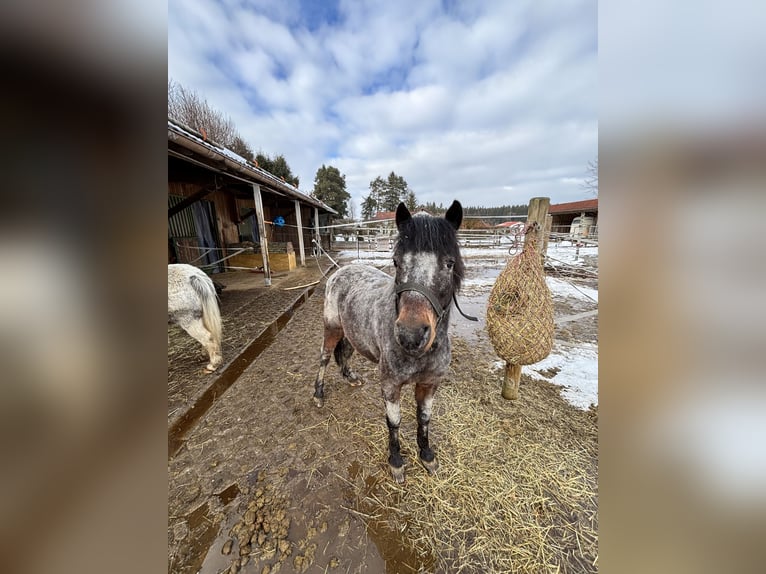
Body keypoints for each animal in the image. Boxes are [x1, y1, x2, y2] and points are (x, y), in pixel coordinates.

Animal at [313, 201, 465, 484]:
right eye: (396, 261)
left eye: (449, 263)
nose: (411, 335)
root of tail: (341, 271)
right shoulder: (391, 385)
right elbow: (394, 422)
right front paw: (396, 461)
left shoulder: (429, 384)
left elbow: (424, 418)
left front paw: (427, 455)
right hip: (332, 328)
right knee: (325, 357)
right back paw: (318, 394)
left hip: (352, 332)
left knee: (344, 354)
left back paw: (351, 378)